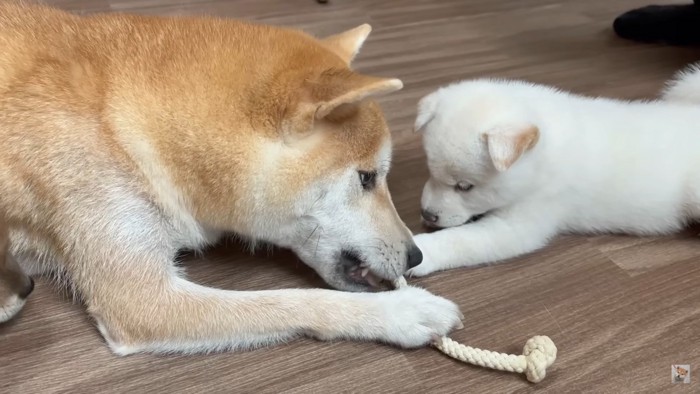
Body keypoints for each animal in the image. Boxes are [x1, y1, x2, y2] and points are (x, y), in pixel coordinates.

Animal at [408, 64, 700, 278]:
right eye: (430, 171)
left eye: (465, 186)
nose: (427, 214)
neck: (540, 153)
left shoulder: (522, 222)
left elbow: (460, 240)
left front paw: (422, 253)